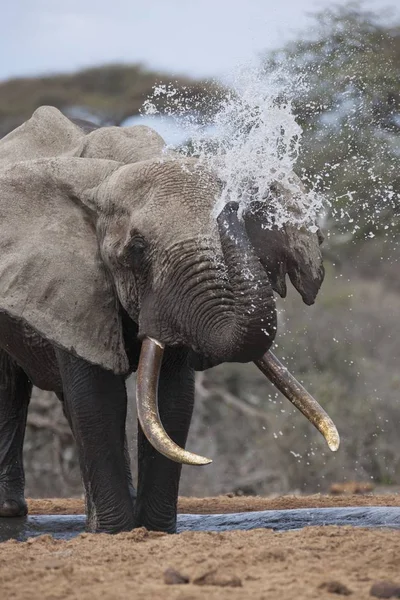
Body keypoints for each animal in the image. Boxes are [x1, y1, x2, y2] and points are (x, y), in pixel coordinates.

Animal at [0, 105, 338, 532]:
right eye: (137, 249)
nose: (232, 204)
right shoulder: (73, 284)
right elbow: (98, 400)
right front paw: (117, 533)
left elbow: (171, 398)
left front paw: (155, 530)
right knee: (12, 387)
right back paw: (13, 512)